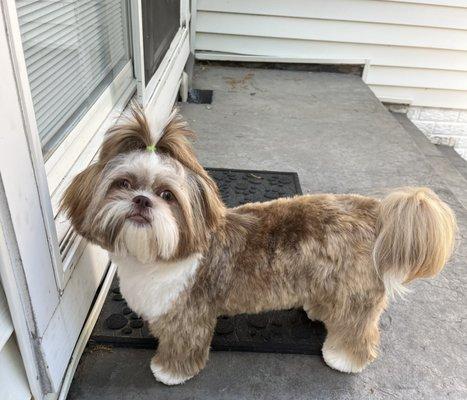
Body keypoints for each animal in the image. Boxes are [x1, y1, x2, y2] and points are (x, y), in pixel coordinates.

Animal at [62, 105, 458, 384]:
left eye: (167, 195)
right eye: (124, 183)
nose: (142, 200)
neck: (156, 256)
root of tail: (375, 210)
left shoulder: (188, 314)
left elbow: (182, 344)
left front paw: (170, 370)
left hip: (355, 294)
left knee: (357, 328)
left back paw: (344, 358)